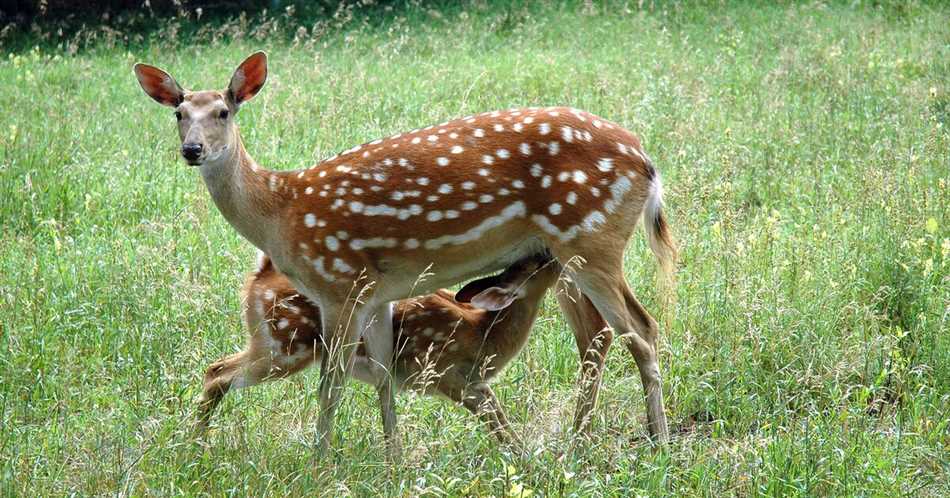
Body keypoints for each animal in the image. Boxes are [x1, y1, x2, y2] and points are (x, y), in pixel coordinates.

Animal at [197, 251, 564, 446]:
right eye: (535, 266)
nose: (554, 253)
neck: (484, 336)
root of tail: (262, 274)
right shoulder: (444, 373)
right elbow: (496, 422)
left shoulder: (474, 382)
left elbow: (500, 418)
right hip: (285, 345)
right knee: (217, 373)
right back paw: (198, 443)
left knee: (216, 370)